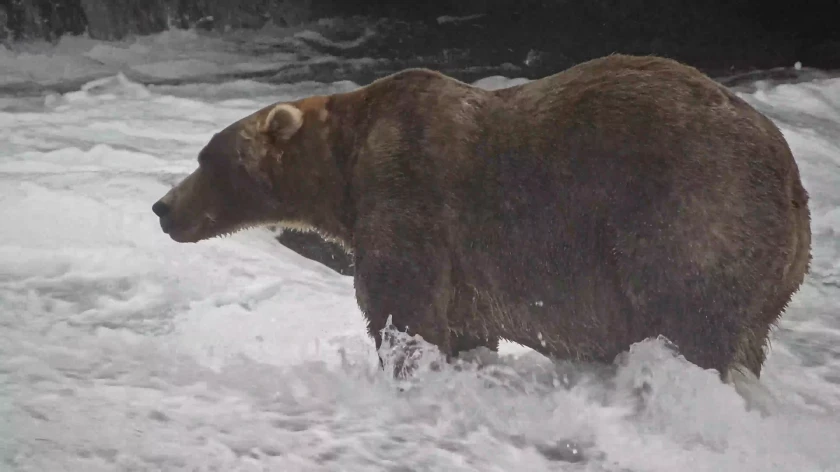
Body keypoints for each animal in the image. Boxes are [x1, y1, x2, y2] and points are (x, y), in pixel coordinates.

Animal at [152, 54, 811, 381]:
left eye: (207, 158)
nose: (162, 207)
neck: (344, 168)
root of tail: (793, 180)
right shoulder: (465, 269)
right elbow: (464, 326)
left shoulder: (408, 191)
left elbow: (402, 306)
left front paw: (404, 366)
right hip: (771, 273)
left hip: (691, 214)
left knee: (690, 318)